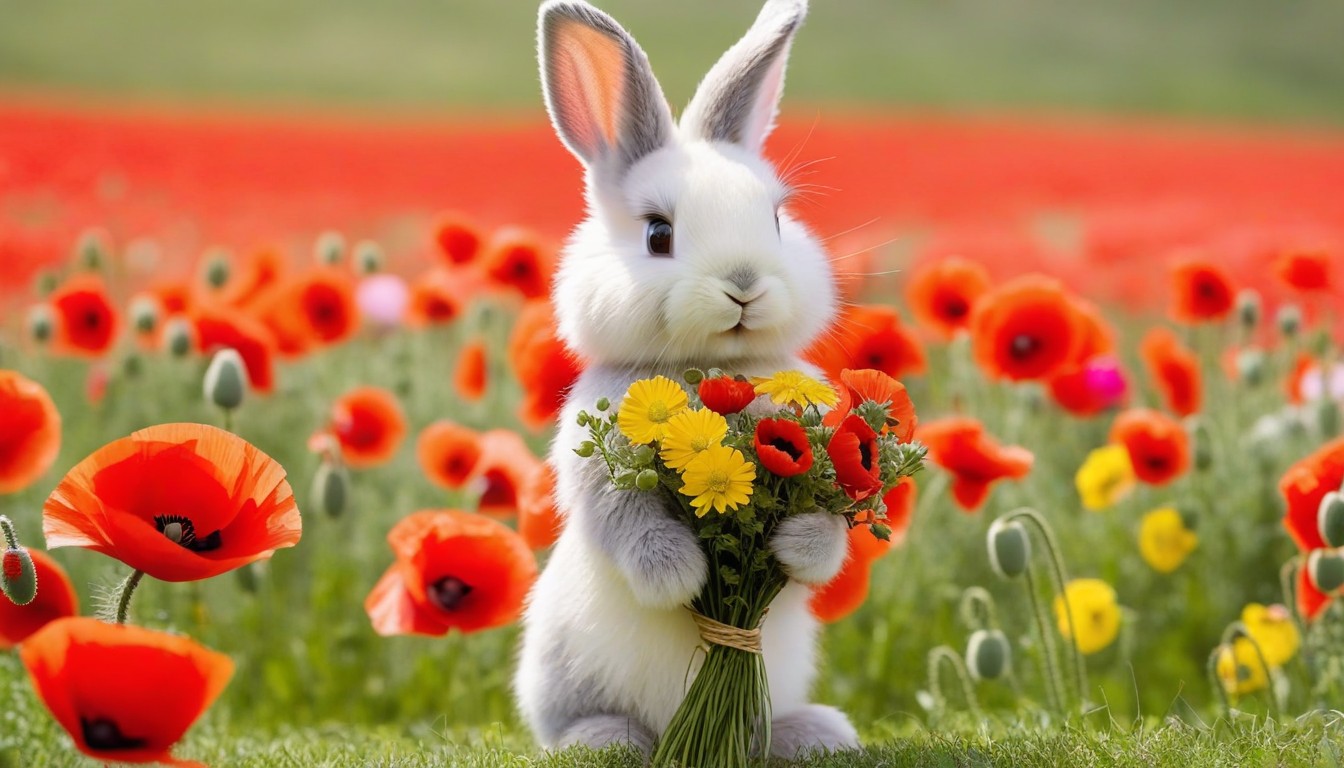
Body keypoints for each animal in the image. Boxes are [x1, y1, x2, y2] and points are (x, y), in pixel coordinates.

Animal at [515, 0, 859, 759]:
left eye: (777, 219)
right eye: (658, 234)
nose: (744, 285)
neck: (713, 374)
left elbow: (828, 530)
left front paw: (795, 547)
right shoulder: (597, 470)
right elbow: (626, 520)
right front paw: (683, 576)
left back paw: (815, 735)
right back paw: (606, 741)